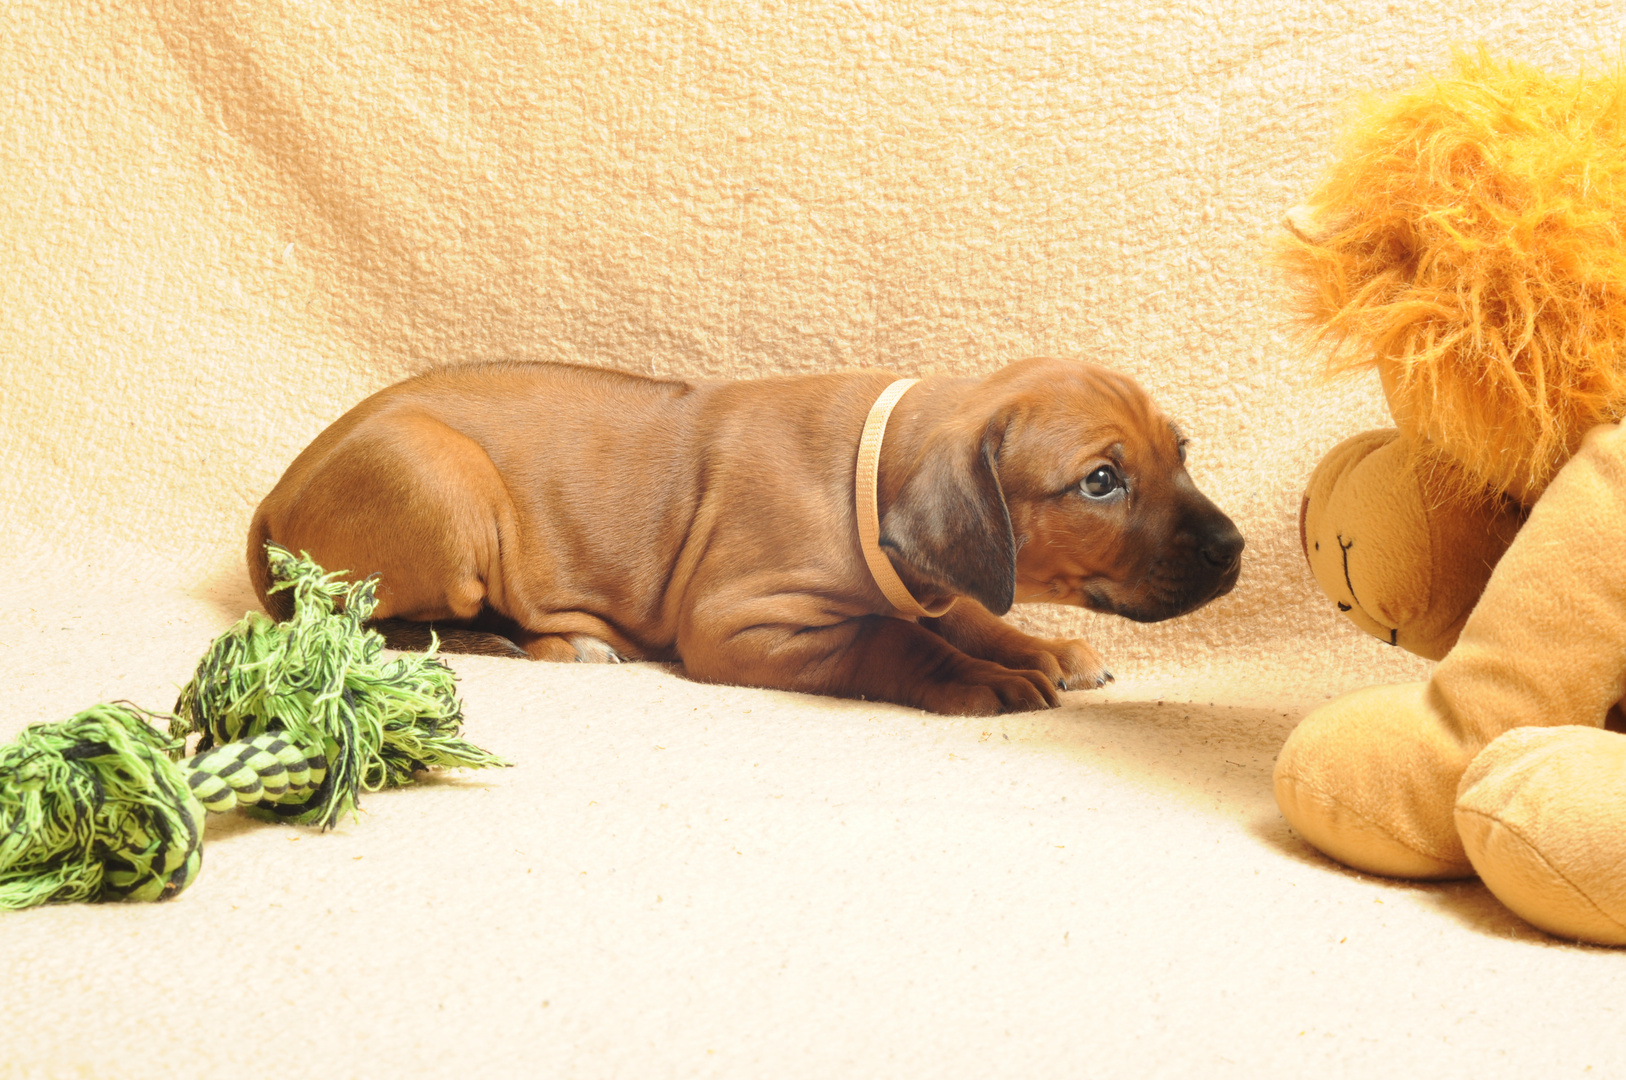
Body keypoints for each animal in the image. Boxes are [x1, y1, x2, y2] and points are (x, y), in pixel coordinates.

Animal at [247, 356, 1242, 715]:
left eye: (1182, 451)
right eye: (1101, 481)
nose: (1235, 549)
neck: (866, 470)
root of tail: (273, 498)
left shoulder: (932, 579)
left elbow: (963, 612)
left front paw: (1045, 649)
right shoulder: (737, 625)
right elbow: (890, 641)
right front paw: (981, 680)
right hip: (445, 478)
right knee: (374, 622)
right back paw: (548, 643)